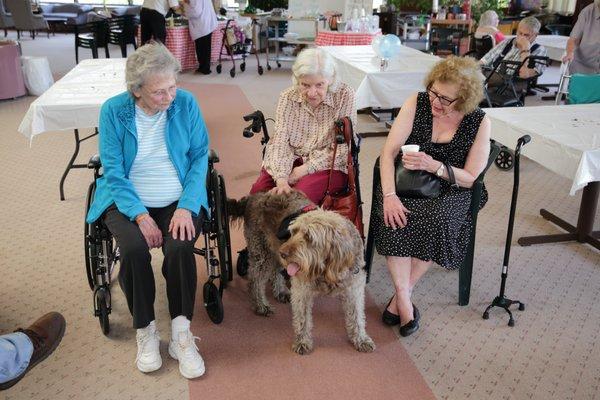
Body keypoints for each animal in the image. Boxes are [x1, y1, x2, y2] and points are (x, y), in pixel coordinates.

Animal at [230, 192, 376, 354]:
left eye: (309, 237)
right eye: (293, 232)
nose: (283, 253)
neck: (327, 269)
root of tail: (253, 197)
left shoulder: (354, 289)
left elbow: (357, 317)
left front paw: (361, 339)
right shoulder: (302, 290)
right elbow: (302, 319)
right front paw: (302, 341)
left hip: (273, 249)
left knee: (275, 272)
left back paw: (280, 291)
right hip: (262, 253)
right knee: (255, 280)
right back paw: (260, 305)